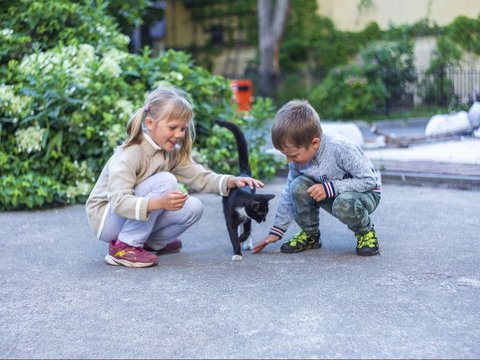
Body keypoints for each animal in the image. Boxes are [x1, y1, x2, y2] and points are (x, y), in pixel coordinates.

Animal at [216, 119, 276, 260]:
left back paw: (247, 243)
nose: (264, 220)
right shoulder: (230, 216)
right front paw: (237, 251)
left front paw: (242, 239)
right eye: (262, 214)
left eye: (266, 214)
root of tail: (243, 174)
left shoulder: (248, 217)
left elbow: (247, 230)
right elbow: (232, 233)